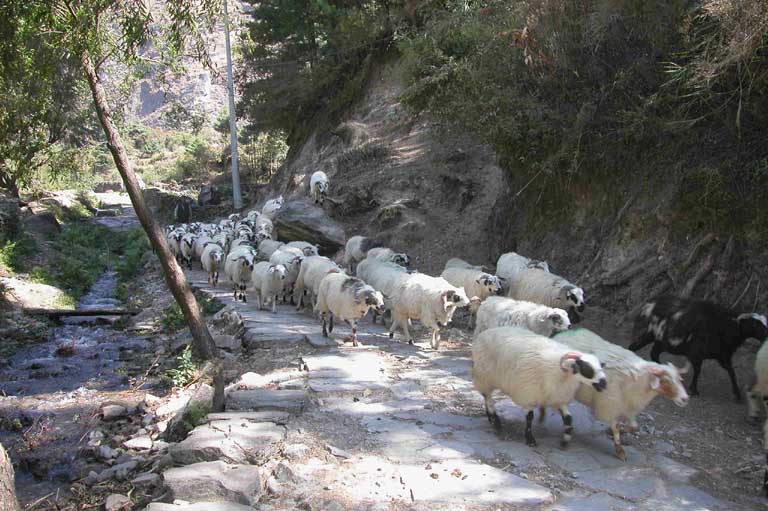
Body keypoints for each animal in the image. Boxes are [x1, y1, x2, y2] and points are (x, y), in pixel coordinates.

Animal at [472, 326, 607, 447]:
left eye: (600, 367)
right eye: (586, 368)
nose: (604, 383)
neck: (561, 374)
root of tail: (486, 331)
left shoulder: (557, 398)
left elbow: (568, 418)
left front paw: (565, 440)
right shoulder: (528, 396)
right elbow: (529, 418)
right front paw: (530, 439)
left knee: (486, 397)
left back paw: (490, 417)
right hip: (484, 377)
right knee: (488, 397)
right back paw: (495, 420)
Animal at [554, 328, 689, 460]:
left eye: (679, 379)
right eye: (666, 380)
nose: (685, 399)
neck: (638, 381)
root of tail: (562, 333)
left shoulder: (629, 406)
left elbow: (634, 426)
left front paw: (615, 432)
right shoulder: (610, 405)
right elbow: (616, 426)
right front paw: (619, 449)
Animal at [629, 295, 768, 401]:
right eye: (755, 325)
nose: (767, 335)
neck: (724, 325)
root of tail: (650, 305)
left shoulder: (723, 355)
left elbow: (732, 372)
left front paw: (737, 395)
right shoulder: (697, 353)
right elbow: (697, 371)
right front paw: (694, 390)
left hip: (657, 338)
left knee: (648, 351)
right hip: (655, 335)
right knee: (641, 349)